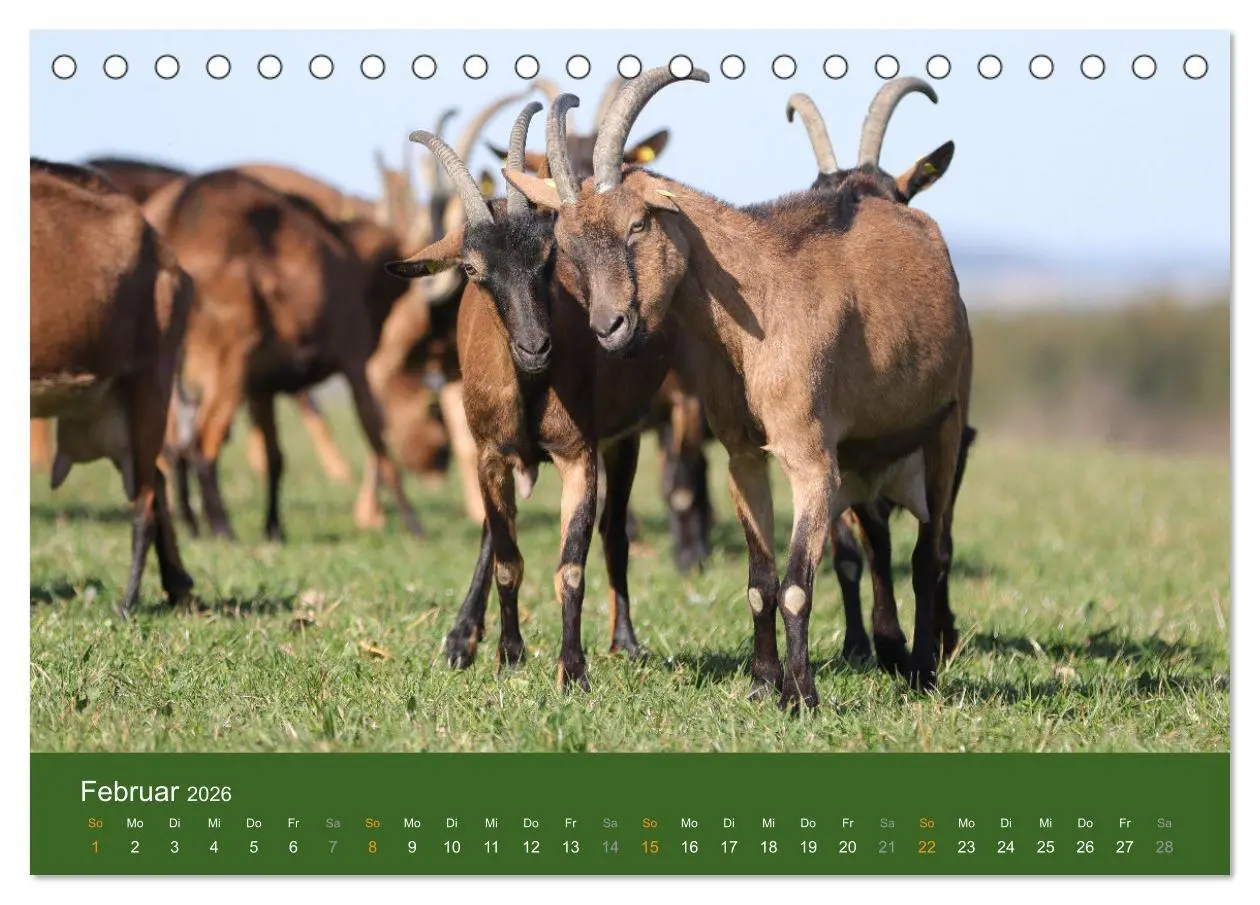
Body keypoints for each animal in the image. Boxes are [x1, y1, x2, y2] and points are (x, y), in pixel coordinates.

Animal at [144, 168, 423, 541]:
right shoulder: (355, 363)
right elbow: (377, 438)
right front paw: (414, 523)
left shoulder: (262, 387)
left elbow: (276, 457)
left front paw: (274, 527)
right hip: (227, 362)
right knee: (201, 443)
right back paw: (222, 528)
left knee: (174, 445)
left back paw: (191, 524)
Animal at [387, 99, 676, 687]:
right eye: (472, 270)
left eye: (548, 257)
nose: (535, 345)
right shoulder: (490, 455)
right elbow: (505, 559)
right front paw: (508, 654)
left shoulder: (580, 452)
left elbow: (571, 565)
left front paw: (573, 669)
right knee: (494, 536)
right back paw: (462, 638)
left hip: (627, 437)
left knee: (615, 532)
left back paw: (626, 641)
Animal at [507, 68, 971, 708]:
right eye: (570, 246)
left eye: (637, 224)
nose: (610, 326)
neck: (761, 298)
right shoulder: (744, 454)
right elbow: (762, 580)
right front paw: (762, 682)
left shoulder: (808, 456)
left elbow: (799, 584)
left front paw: (801, 696)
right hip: (867, 454)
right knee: (880, 542)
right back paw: (894, 653)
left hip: (946, 425)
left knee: (932, 552)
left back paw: (924, 666)